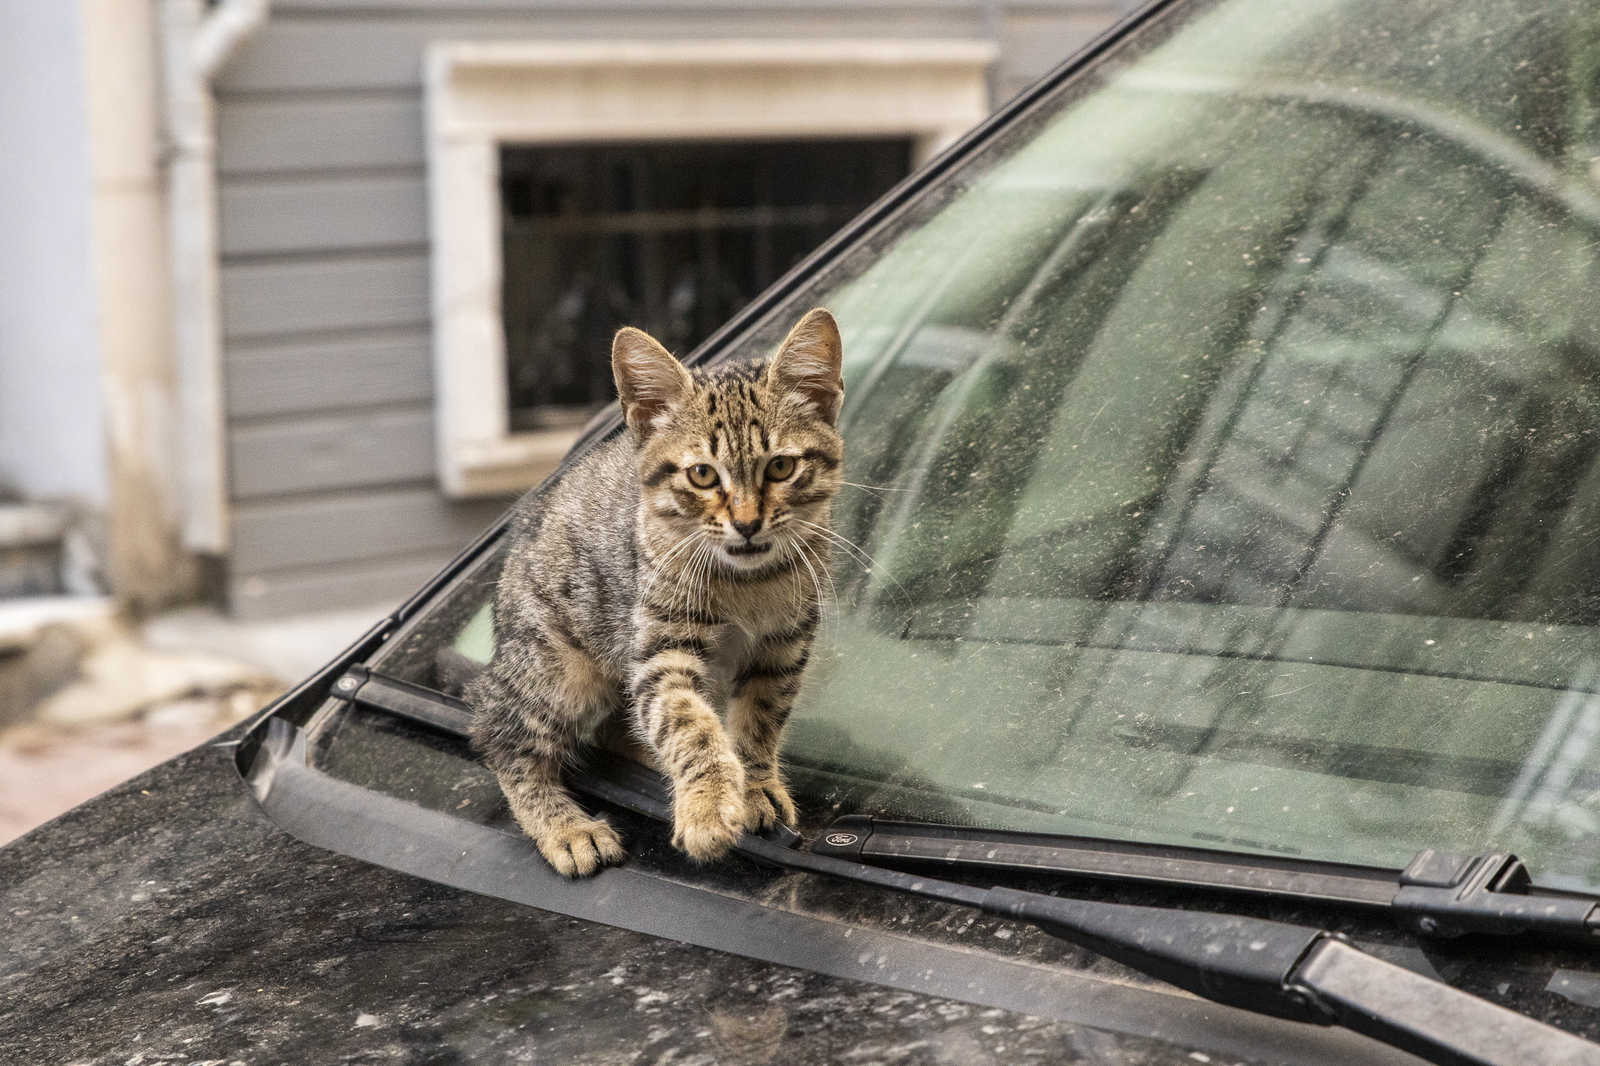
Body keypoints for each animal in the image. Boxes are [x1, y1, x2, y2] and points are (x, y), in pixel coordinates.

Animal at [467, 305, 851, 870]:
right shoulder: (660, 648)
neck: (749, 581)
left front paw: (755, 784)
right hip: (556, 667)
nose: (747, 524)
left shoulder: (783, 645)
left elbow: (761, 717)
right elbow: (687, 722)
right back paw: (563, 827)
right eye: (702, 476)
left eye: (781, 466)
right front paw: (708, 805)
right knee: (497, 726)